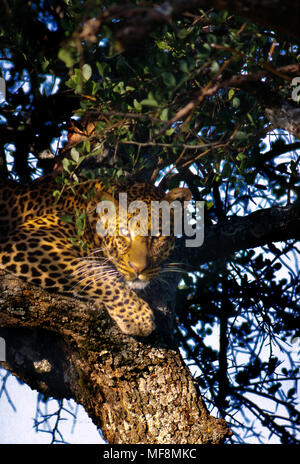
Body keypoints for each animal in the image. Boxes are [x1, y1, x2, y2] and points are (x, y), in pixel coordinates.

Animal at [0, 176, 191, 336]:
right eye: (124, 232)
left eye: (157, 236)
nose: (138, 269)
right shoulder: (30, 241)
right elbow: (93, 272)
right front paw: (137, 316)